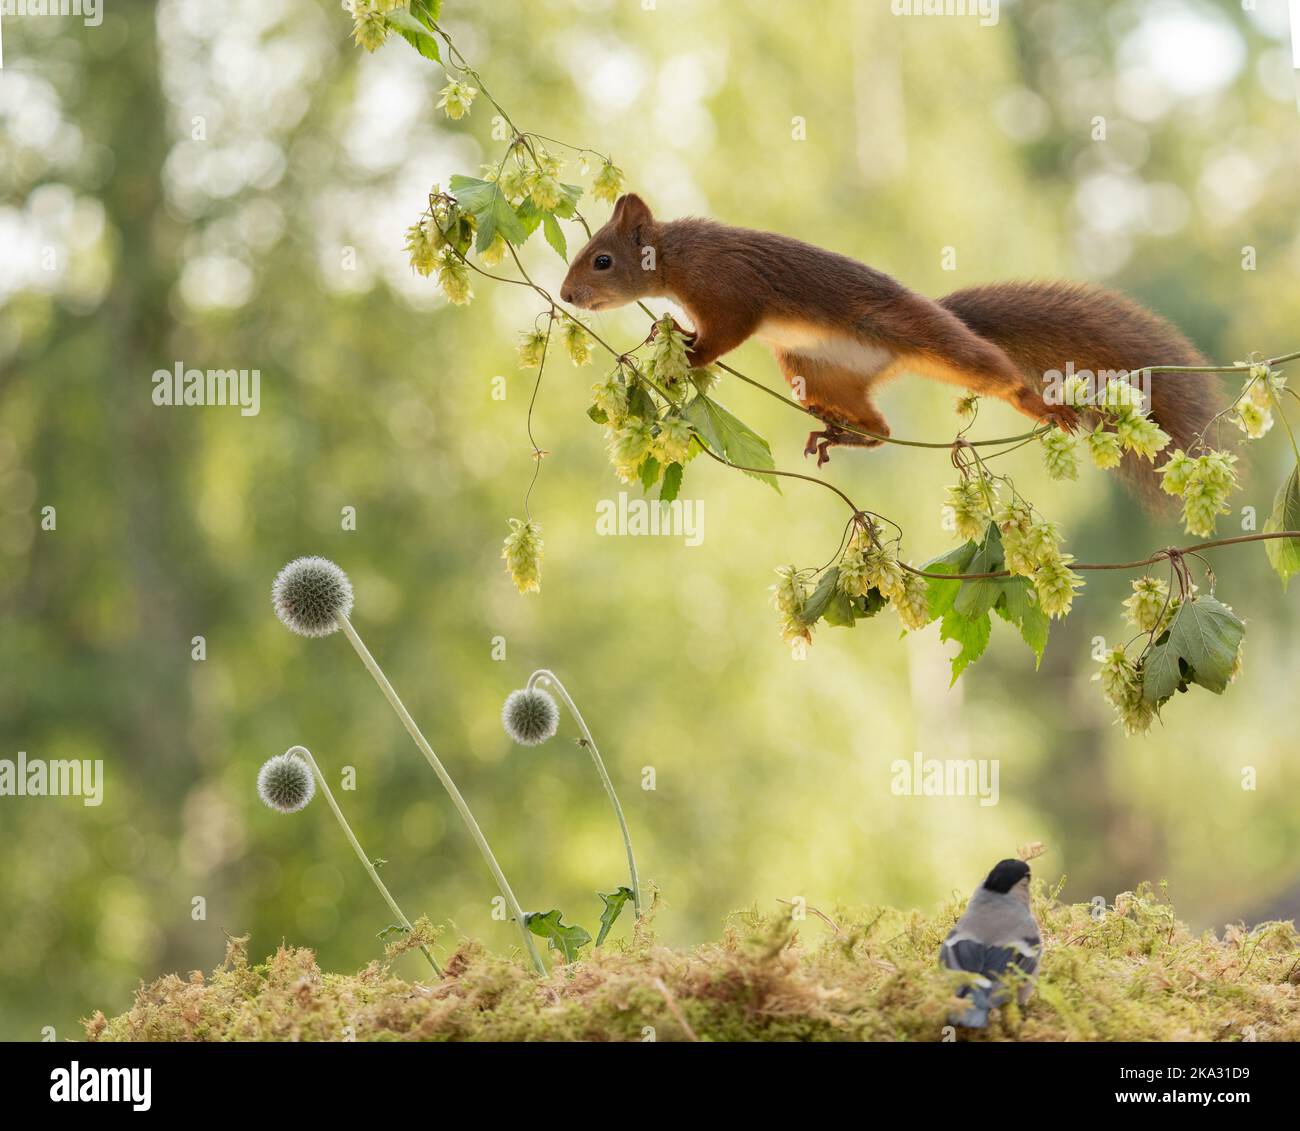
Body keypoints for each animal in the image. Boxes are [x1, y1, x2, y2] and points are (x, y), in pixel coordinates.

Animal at [560, 194, 1217, 487]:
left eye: (601, 260)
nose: (565, 295)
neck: (677, 258)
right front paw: (666, 330)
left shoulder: (732, 290)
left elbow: (725, 334)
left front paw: (687, 353)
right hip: (811, 368)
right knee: (880, 427)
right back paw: (839, 433)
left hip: (924, 336)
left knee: (993, 370)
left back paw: (1039, 404)